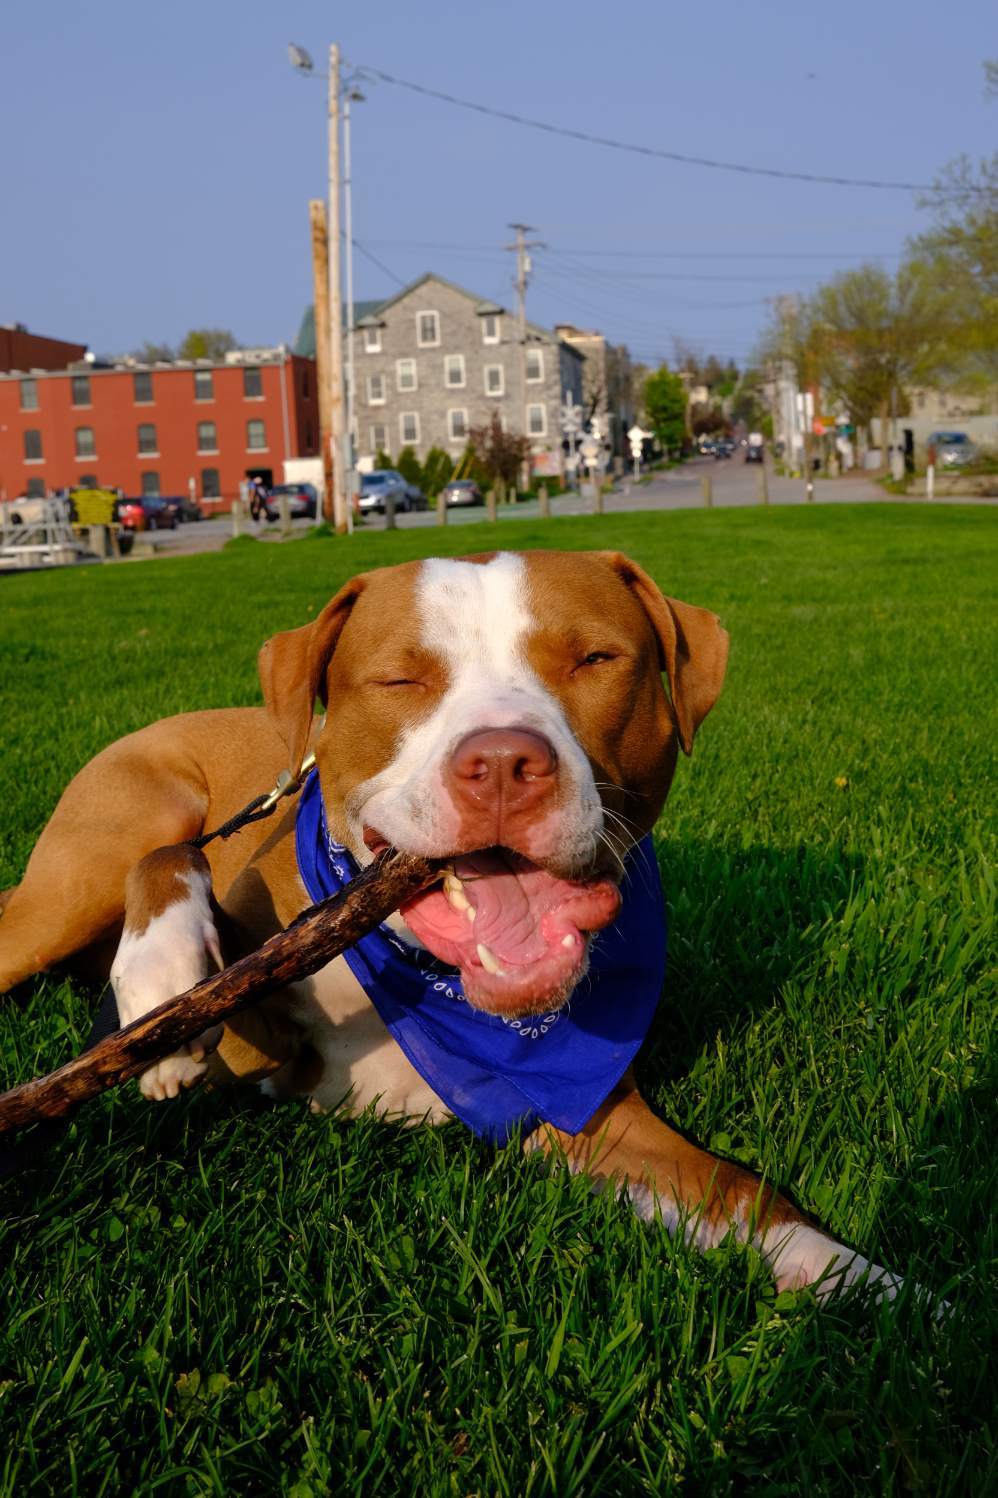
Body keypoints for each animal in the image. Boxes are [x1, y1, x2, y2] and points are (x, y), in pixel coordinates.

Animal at [0, 551, 899, 1300]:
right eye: (400, 679)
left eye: (595, 660)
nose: (502, 763)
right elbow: (175, 871)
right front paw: (163, 977)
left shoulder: (587, 1114)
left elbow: (739, 1190)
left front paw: (869, 1283)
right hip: (92, 858)